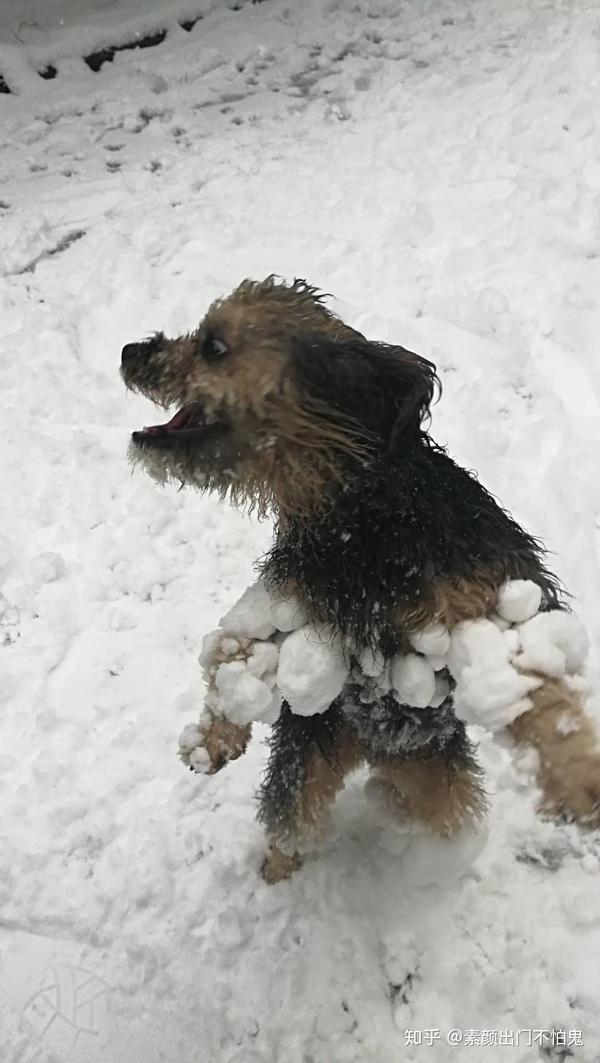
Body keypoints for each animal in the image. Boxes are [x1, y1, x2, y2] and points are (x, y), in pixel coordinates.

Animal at [121, 274, 600, 880]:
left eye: (214, 345)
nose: (128, 352)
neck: (362, 512)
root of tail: (369, 749)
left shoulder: (485, 601)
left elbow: (539, 693)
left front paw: (581, 778)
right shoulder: (291, 606)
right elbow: (235, 651)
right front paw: (212, 737)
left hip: (435, 779)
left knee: (431, 809)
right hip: (308, 759)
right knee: (293, 821)